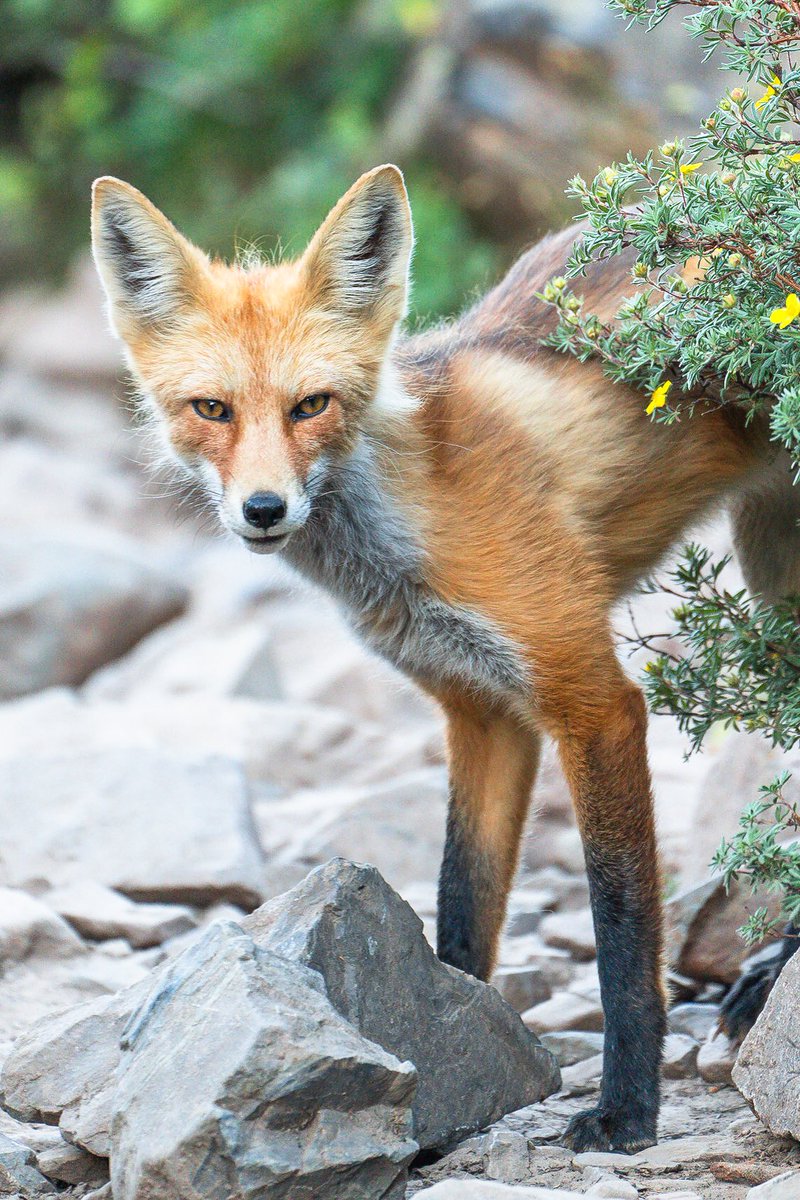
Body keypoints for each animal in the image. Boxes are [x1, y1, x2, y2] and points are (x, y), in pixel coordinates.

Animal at [90, 164, 799, 1153]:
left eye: (311, 405)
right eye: (212, 409)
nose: (264, 510)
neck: (415, 514)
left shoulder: (592, 699)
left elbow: (621, 929)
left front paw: (627, 1109)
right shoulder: (483, 710)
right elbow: (463, 902)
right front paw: (458, 1042)